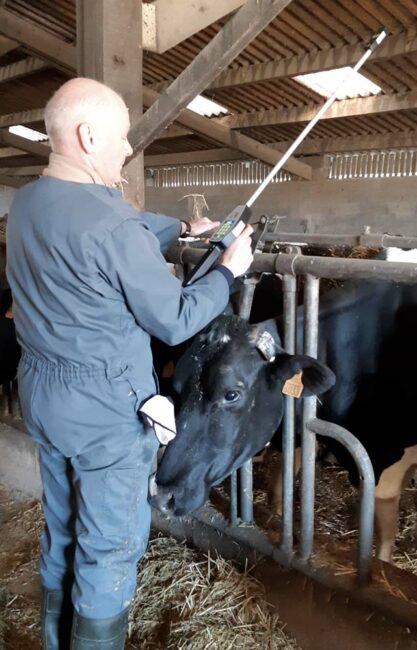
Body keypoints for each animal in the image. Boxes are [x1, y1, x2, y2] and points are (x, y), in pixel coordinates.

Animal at [150, 280, 417, 560]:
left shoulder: (384, 462)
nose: (161, 496)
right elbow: (281, 482)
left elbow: (385, 531)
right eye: (177, 387)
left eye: (231, 394)